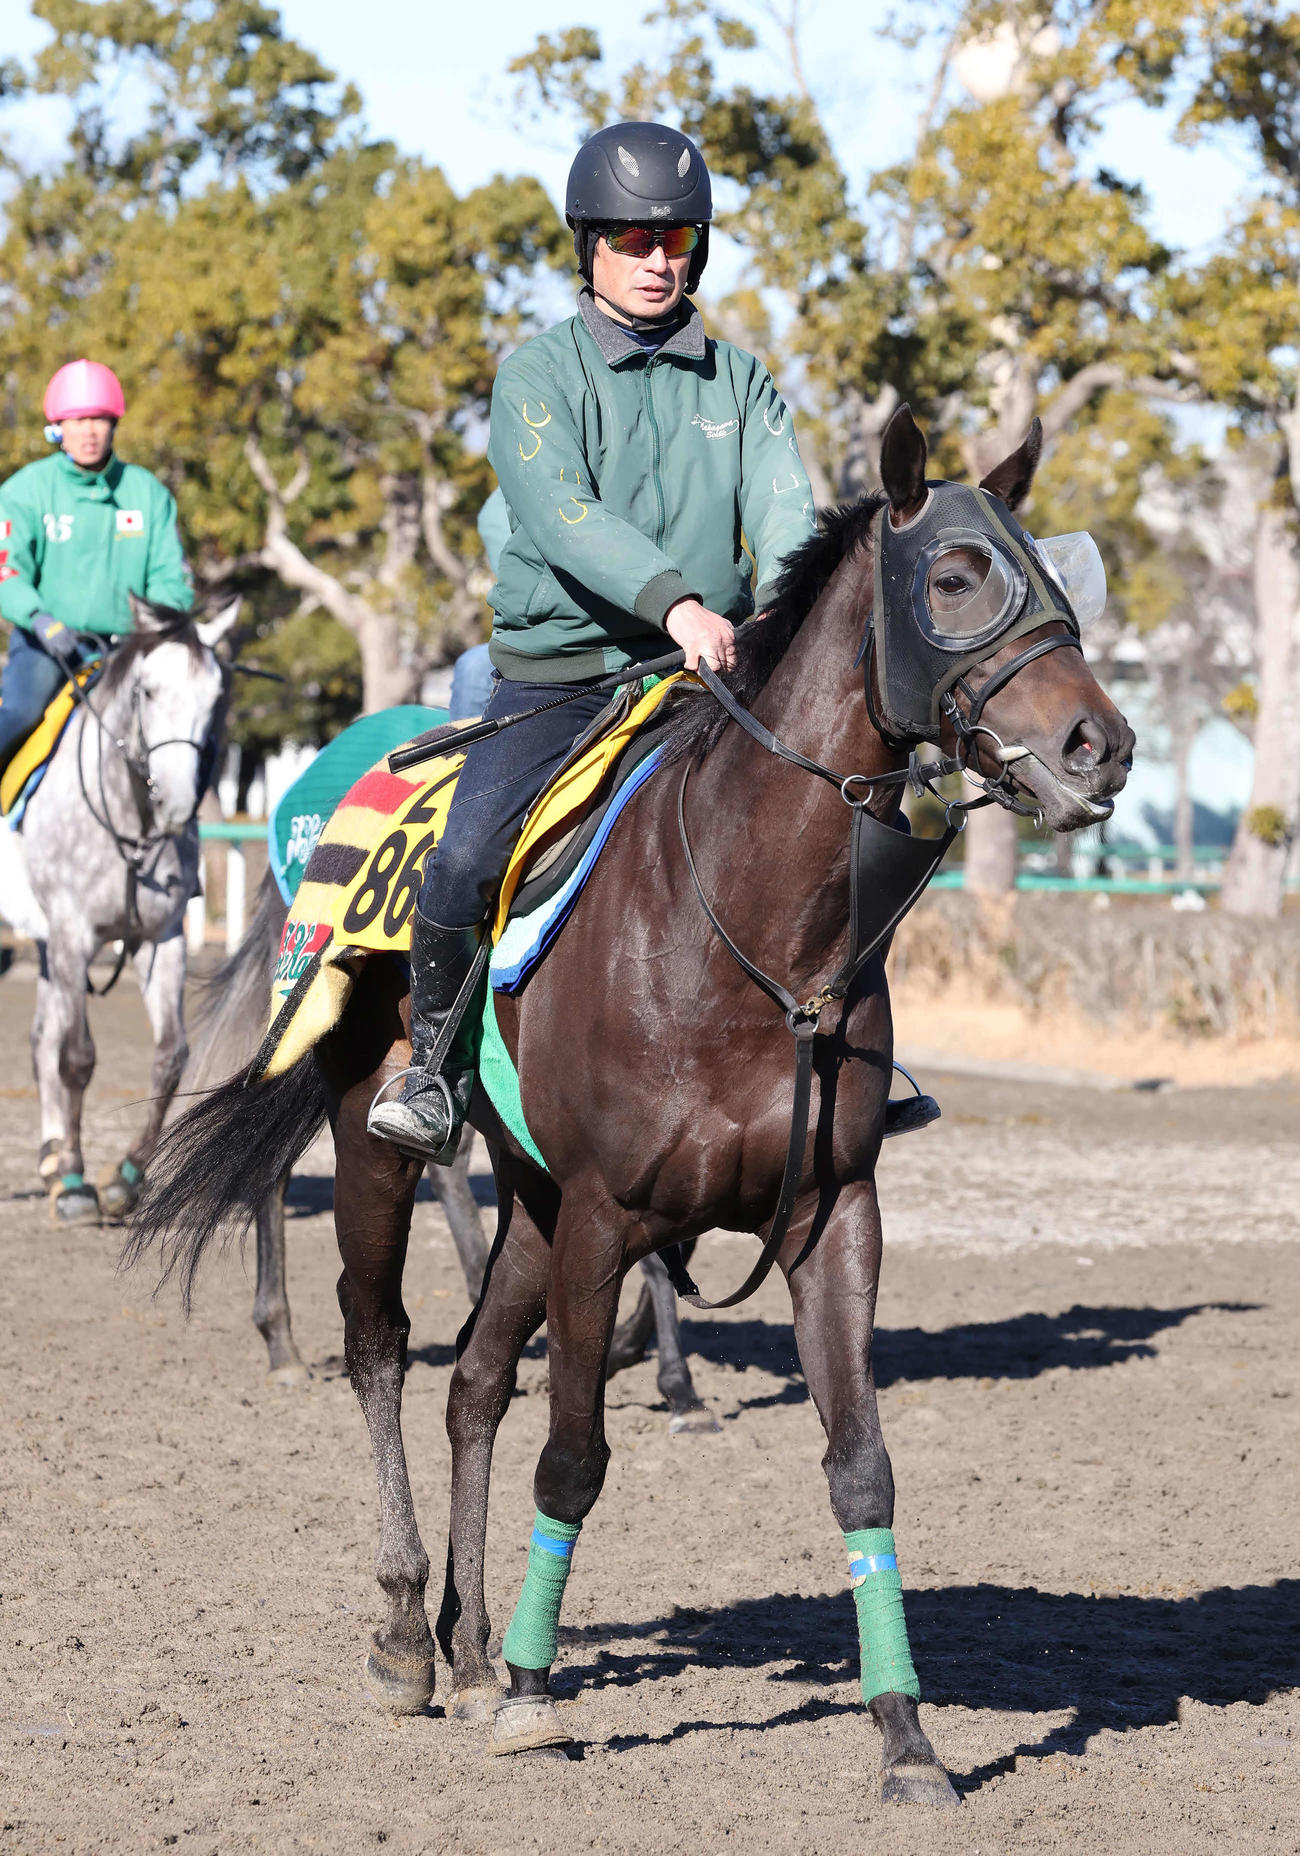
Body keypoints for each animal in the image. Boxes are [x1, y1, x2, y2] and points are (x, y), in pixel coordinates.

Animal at [2, 593, 236, 1223]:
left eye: (215, 696)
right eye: (147, 692)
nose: (176, 800)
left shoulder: (162, 939)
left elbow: (171, 1056)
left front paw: (123, 1179)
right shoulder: (73, 933)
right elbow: (78, 1058)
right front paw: (77, 1183)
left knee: (40, 1038)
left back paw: (50, 1155)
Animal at [127, 408, 1134, 1805]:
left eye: (1052, 575)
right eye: (953, 577)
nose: (1104, 744)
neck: (748, 923)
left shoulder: (832, 1214)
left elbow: (860, 1466)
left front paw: (905, 1735)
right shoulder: (609, 1212)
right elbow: (576, 1452)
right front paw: (536, 1693)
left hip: (533, 1197)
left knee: (473, 1377)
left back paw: (470, 1645)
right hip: (385, 1140)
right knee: (381, 1342)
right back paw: (408, 1633)